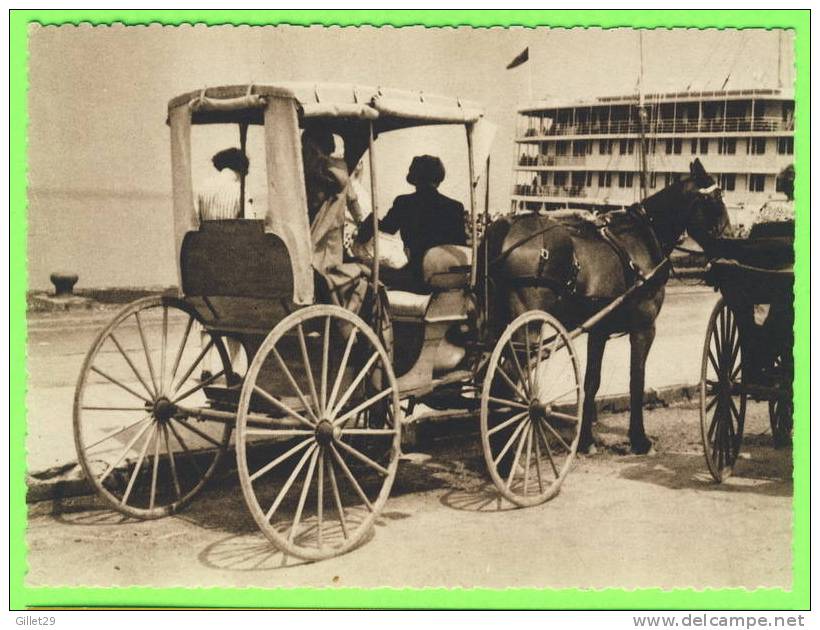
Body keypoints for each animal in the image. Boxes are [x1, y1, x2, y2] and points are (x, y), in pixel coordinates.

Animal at [480, 159, 732, 454]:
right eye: (716, 199)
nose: (731, 239)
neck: (643, 238)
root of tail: (505, 229)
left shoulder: (598, 330)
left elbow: (592, 381)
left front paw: (585, 440)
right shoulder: (644, 327)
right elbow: (637, 379)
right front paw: (639, 439)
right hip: (527, 328)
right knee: (507, 377)